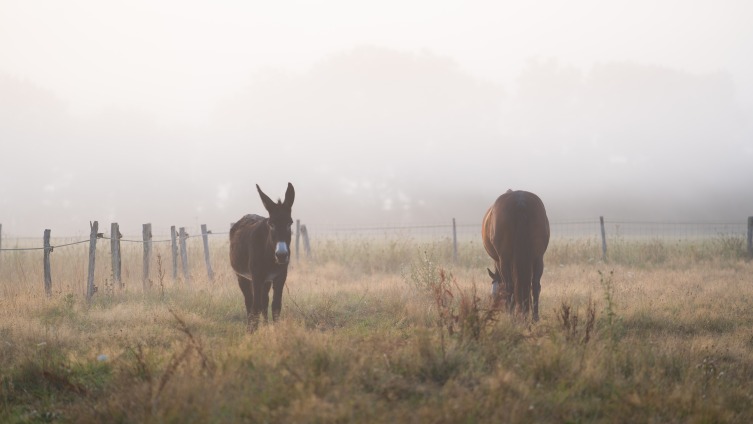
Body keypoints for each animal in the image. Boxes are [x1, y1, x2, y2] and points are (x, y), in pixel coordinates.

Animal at [231, 182, 296, 332]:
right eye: (271, 224)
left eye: (290, 223)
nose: (281, 255)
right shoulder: (256, 276)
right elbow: (255, 307)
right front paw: (251, 333)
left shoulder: (280, 276)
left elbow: (276, 305)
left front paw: (275, 331)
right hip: (242, 277)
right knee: (249, 302)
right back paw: (251, 326)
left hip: (266, 281)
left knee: (264, 302)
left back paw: (265, 325)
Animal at [484, 190, 548, 322]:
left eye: (494, 295)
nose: (493, 310)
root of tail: (520, 201)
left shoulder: (499, 261)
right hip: (538, 258)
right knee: (535, 285)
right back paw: (535, 317)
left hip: (504, 260)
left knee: (510, 286)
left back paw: (511, 316)